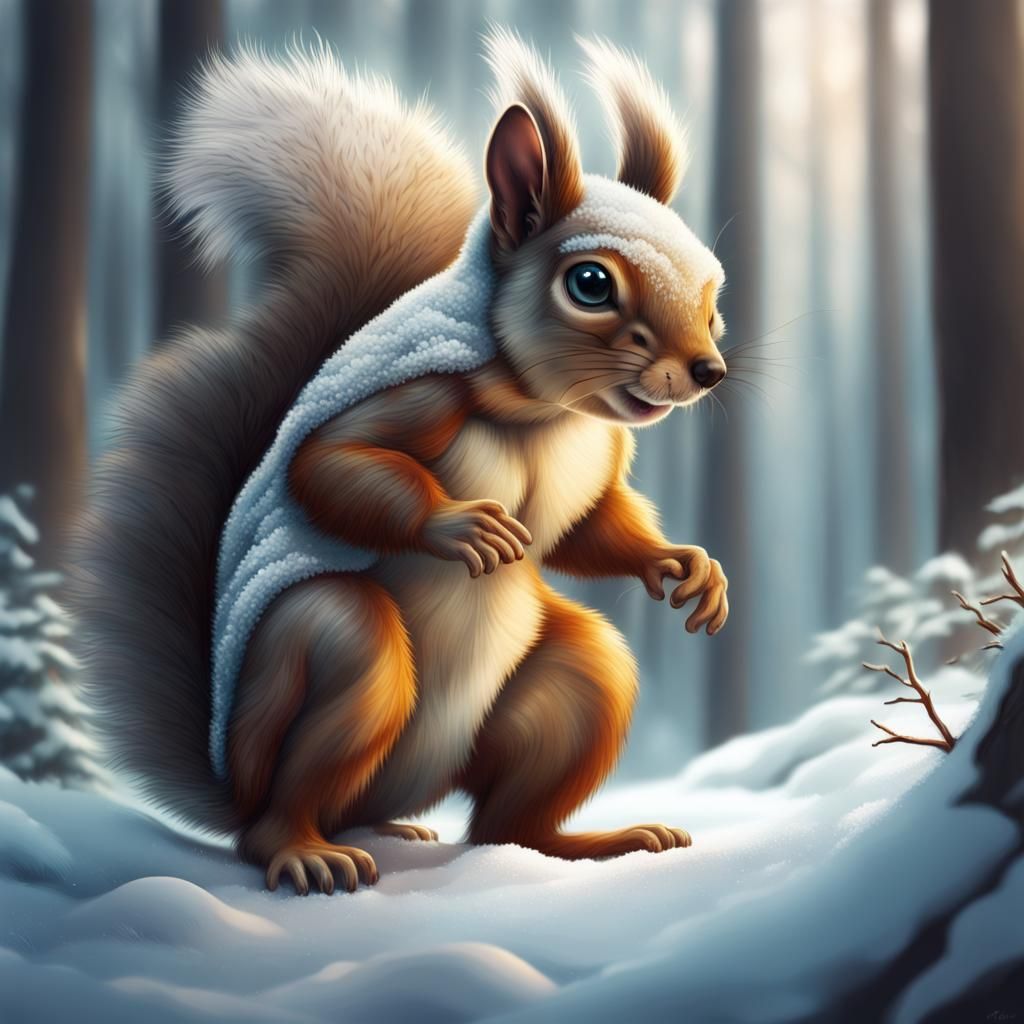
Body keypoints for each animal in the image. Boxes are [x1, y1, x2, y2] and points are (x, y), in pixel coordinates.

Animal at [71, 31, 729, 896]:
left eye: (715, 293)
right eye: (590, 283)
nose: (709, 371)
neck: (545, 411)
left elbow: (594, 529)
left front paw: (687, 567)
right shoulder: (423, 393)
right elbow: (328, 463)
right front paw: (460, 527)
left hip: (577, 681)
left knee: (507, 824)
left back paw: (593, 844)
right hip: (321, 669)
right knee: (326, 722)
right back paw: (304, 852)